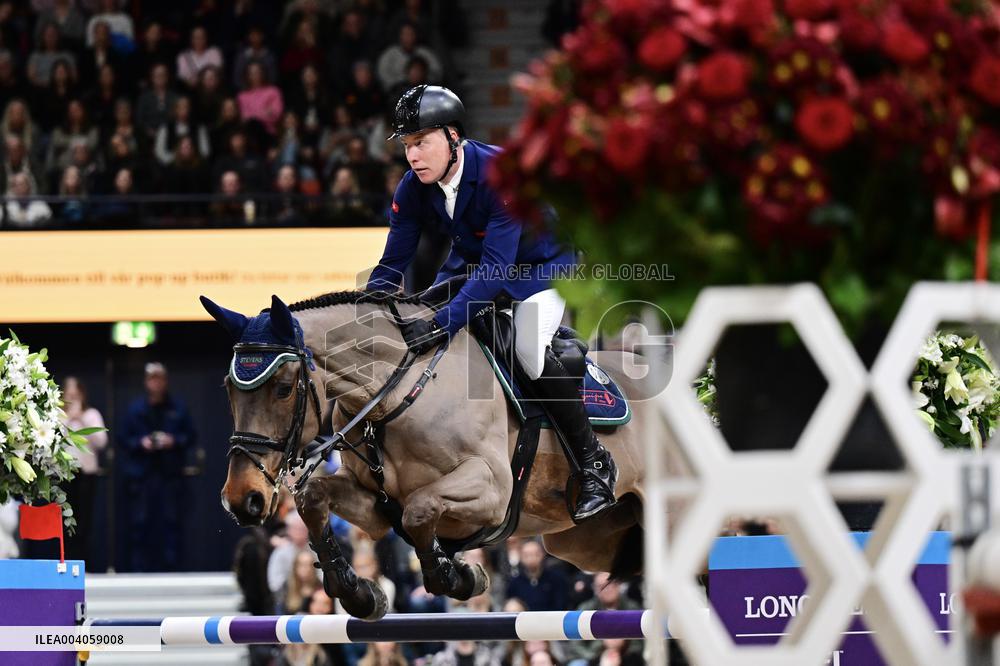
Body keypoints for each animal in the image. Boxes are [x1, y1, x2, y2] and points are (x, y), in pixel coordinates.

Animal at [201, 288, 675, 620]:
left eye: (284, 389)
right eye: (227, 389)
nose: (242, 499)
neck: (396, 395)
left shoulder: (493, 490)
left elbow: (419, 509)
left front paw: (458, 576)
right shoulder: (375, 507)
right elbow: (313, 496)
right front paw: (358, 593)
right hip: (584, 542)